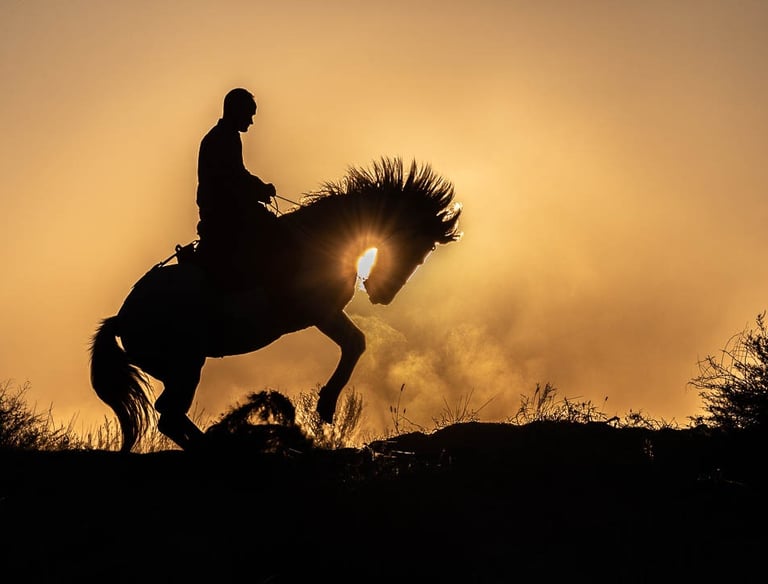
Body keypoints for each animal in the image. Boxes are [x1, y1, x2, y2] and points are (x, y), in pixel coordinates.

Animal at [89, 157, 462, 452]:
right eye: (421, 248)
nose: (383, 296)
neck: (322, 238)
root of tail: (123, 318)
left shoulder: (327, 313)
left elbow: (355, 343)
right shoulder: (320, 312)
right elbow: (356, 343)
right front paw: (326, 405)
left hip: (178, 369)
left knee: (170, 415)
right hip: (186, 365)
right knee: (169, 415)